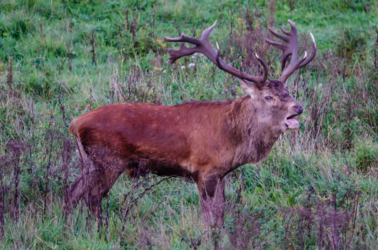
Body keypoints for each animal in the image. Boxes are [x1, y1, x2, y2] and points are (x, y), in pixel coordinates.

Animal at [64, 19, 316, 227]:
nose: (299, 108)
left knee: (72, 192)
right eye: (268, 97)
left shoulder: (221, 173)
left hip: (90, 161)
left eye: (288, 91)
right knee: (92, 197)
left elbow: (220, 214)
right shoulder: (204, 169)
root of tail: (75, 123)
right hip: (109, 159)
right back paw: (101, 231)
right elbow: (208, 216)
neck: (233, 139)